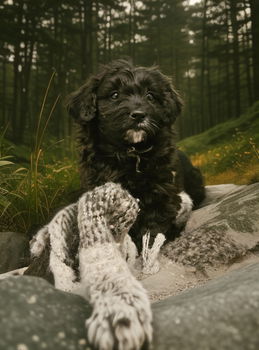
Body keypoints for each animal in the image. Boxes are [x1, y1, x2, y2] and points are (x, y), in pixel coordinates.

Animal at [66, 60, 205, 252]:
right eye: (114, 95)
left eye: (150, 96)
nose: (139, 115)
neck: (131, 152)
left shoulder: (160, 189)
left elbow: (154, 222)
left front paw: (149, 247)